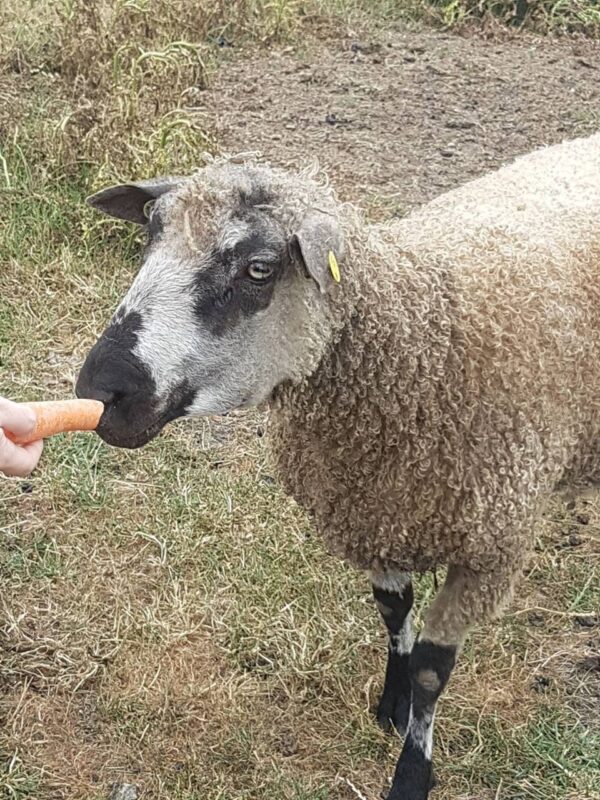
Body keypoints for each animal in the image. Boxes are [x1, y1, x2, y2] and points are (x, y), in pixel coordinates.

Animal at [77, 133, 600, 800]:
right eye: (149, 237)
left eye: (258, 268)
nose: (101, 390)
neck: (423, 341)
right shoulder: (372, 511)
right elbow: (394, 617)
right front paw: (392, 706)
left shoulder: (489, 552)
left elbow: (432, 672)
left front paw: (412, 771)